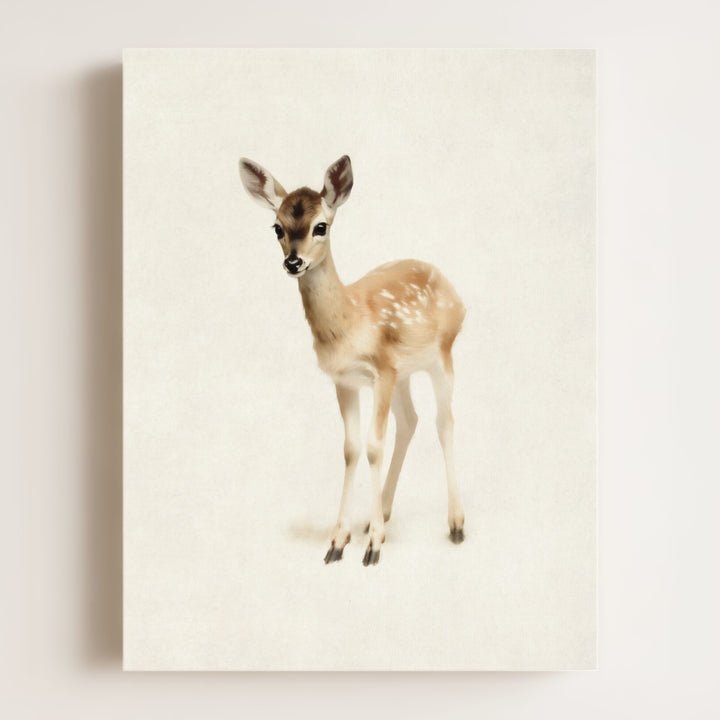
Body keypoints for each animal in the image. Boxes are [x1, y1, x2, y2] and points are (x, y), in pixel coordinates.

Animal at [239, 155, 466, 566]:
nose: (293, 262)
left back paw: (455, 523)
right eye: (277, 226)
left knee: (444, 421)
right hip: (405, 372)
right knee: (411, 420)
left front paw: (373, 547)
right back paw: (383, 514)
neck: (349, 324)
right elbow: (352, 449)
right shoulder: (345, 379)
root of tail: (453, 289)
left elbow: (374, 445)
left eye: (321, 226)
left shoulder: (381, 370)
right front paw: (339, 540)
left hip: (441, 354)